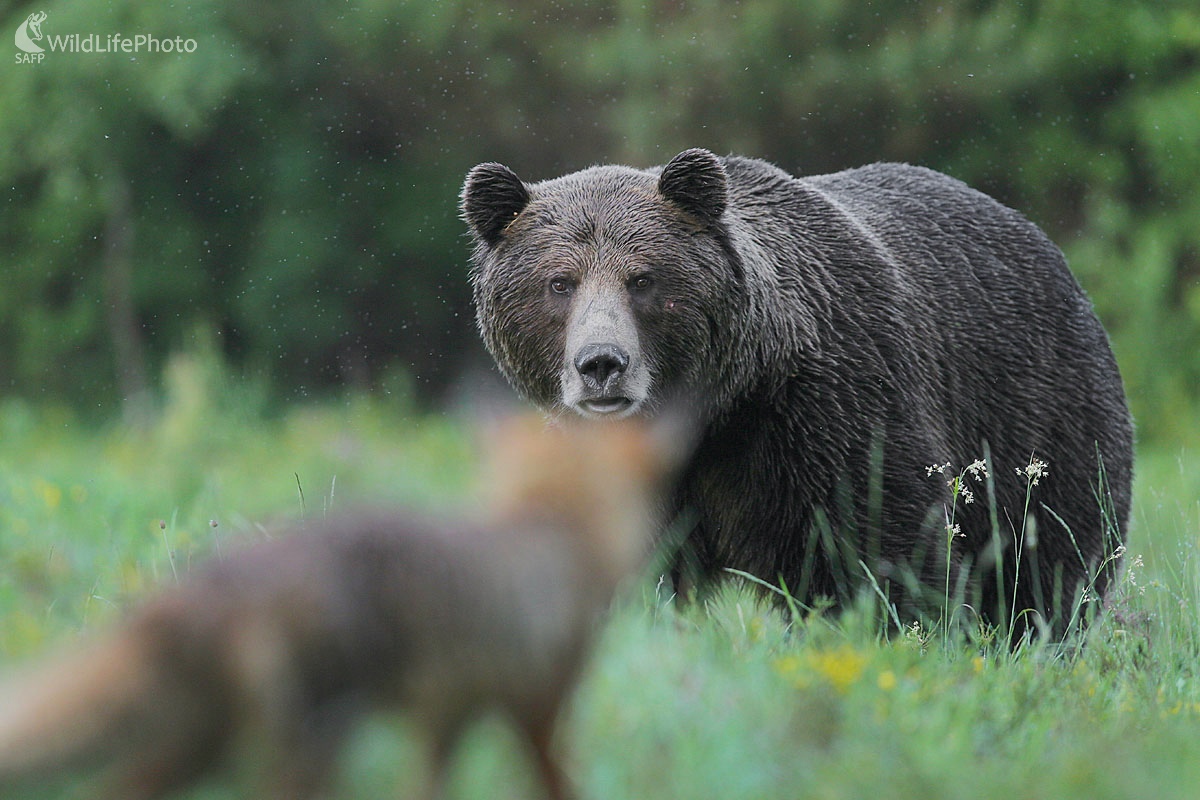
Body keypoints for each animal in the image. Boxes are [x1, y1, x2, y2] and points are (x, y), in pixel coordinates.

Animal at [0, 419, 676, 800]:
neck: (552, 523)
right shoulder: (532, 696)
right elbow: (552, 773)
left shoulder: (451, 706)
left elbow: (431, 780)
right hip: (302, 734)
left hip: (205, 744)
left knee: (112, 784)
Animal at [458, 148, 1132, 638]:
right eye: (560, 283)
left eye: (643, 279)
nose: (602, 364)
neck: (717, 408)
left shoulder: (831, 415)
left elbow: (882, 548)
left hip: (1039, 414)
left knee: (1048, 559)